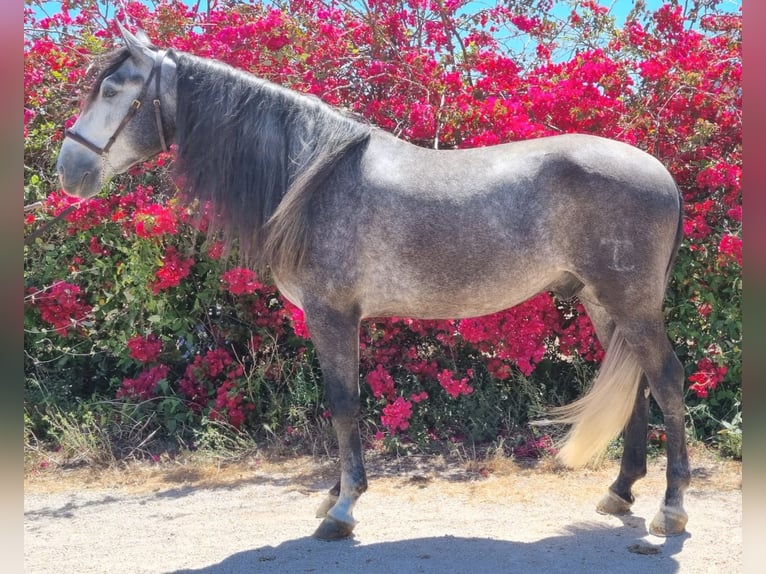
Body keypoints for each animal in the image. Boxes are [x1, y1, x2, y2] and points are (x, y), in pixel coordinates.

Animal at [57, 23, 692, 544]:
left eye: (113, 92)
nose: (68, 170)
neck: (312, 180)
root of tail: (662, 174)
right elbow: (344, 405)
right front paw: (333, 499)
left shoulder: (332, 315)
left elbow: (343, 404)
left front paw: (342, 510)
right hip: (603, 304)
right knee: (637, 384)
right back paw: (619, 494)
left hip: (632, 305)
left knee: (666, 380)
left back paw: (672, 509)